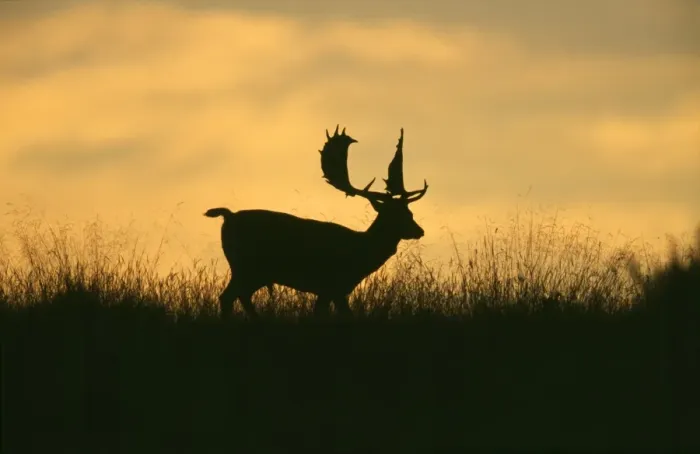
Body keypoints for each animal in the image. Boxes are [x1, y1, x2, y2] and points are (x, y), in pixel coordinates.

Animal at [204, 125, 428, 319]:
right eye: (394, 215)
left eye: (409, 212)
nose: (419, 231)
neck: (360, 252)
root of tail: (229, 216)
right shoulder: (333, 285)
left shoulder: (329, 290)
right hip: (247, 265)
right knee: (229, 297)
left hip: (251, 271)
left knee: (238, 296)